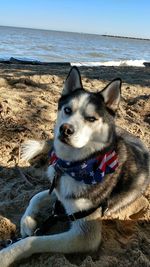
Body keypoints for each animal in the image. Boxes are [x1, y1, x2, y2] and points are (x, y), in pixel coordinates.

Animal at [0, 67, 149, 266]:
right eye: (67, 110)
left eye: (91, 118)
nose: (65, 129)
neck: (74, 166)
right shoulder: (58, 187)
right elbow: (37, 196)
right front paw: (27, 222)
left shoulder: (85, 235)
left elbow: (33, 240)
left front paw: (6, 255)